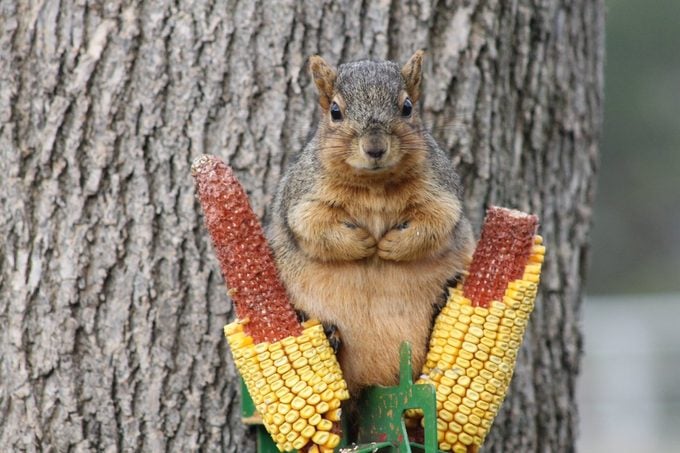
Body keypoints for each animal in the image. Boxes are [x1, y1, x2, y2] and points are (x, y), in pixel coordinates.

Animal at [268, 51, 474, 397]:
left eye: (407, 107)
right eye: (335, 111)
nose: (375, 148)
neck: (374, 185)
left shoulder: (442, 193)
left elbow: (435, 223)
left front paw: (390, 246)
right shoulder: (303, 199)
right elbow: (315, 228)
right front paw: (364, 244)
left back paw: (442, 300)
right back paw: (327, 335)